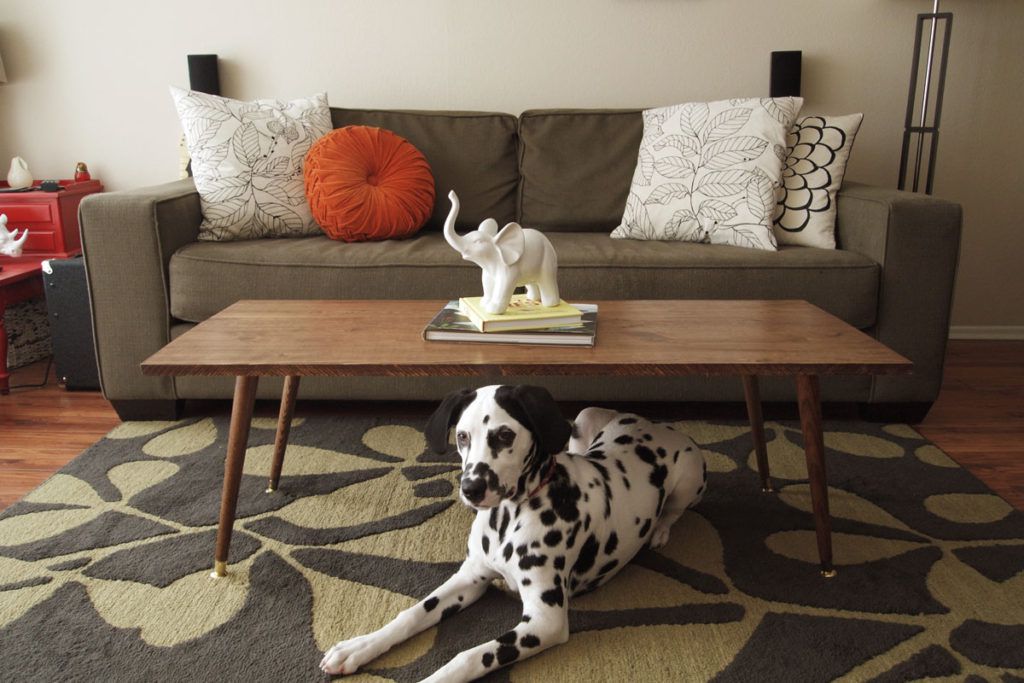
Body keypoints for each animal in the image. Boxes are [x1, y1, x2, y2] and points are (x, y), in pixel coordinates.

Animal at [319, 387, 704, 679]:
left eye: (504, 435)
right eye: (462, 436)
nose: (470, 488)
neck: (507, 518)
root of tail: (655, 424)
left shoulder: (545, 621)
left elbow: (470, 656)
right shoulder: (469, 579)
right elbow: (412, 613)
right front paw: (357, 647)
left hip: (688, 476)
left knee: (674, 510)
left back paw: (660, 531)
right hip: (583, 426)